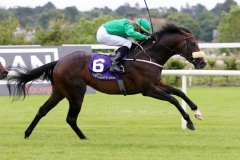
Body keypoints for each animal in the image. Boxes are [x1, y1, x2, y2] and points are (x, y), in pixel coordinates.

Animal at [7, 24, 206, 140]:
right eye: (193, 44)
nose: (202, 63)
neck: (149, 56)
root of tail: (59, 61)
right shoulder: (147, 89)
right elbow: (173, 99)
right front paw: (189, 122)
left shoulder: (156, 84)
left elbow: (179, 93)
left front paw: (197, 112)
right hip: (75, 93)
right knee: (71, 118)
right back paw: (84, 137)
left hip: (60, 91)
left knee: (43, 110)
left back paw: (27, 133)